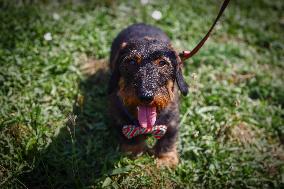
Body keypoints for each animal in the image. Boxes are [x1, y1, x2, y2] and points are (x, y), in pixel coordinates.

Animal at [107, 23, 190, 167]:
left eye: (162, 63)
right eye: (131, 62)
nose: (146, 96)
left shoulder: (172, 120)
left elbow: (168, 137)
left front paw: (165, 158)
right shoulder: (120, 118)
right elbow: (129, 136)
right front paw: (134, 151)